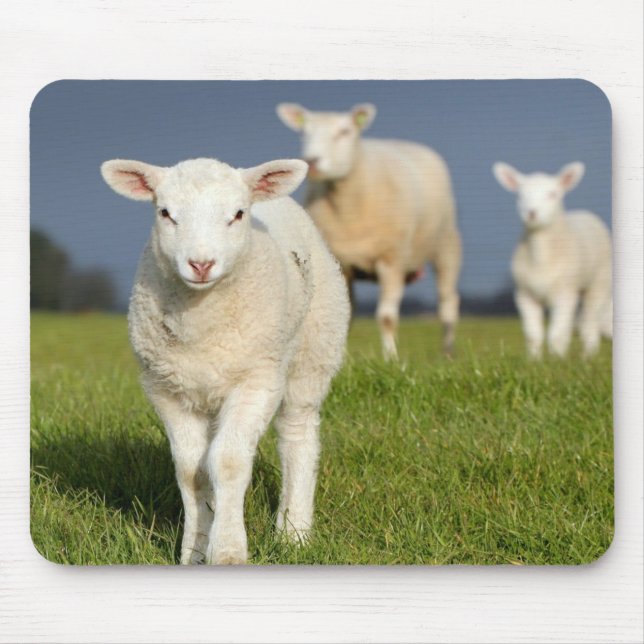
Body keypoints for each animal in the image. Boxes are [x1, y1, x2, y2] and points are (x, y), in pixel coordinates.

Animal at [100, 156, 350, 565]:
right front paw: (194, 551)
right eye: (165, 212)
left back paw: (293, 532)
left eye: (237, 214)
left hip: (313, 352)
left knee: (297, 436)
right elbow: (192, 472)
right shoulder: (167, 390)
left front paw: (229, 551)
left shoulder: (257, 381)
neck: (201, 323)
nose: (201, 264)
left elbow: (229, 463)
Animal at [276, 102, 462, 360]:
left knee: (447, 303)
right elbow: (346, 314)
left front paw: (391, 358)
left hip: (446, 246)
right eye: (304, 132)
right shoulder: (342, 266)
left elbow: (386, 317)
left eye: (344, 131)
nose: (312, 161)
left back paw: (448, 352)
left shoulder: (391, 261)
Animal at [492, 161, 612, 358]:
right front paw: (534, 360)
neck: (541, 260)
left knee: (589, 323)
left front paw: (557, 359)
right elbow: (533, 334)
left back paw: (588, 356)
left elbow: (556, 334)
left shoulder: (565, 293)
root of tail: (584, 212)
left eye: (552, 194)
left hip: (598, 283)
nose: (532, 213)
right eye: (520, 195)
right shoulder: (524, 294)